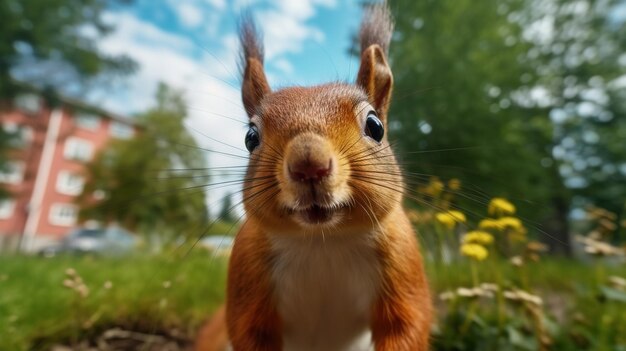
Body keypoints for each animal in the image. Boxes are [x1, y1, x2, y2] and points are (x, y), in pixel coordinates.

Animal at [195, 3, 428, 351]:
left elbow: (408, 326)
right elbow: (248, 330)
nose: (309, 165)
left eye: (375, 126)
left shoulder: (402, 262)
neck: (323, 241)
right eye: (251, 137)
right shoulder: (247, 274)